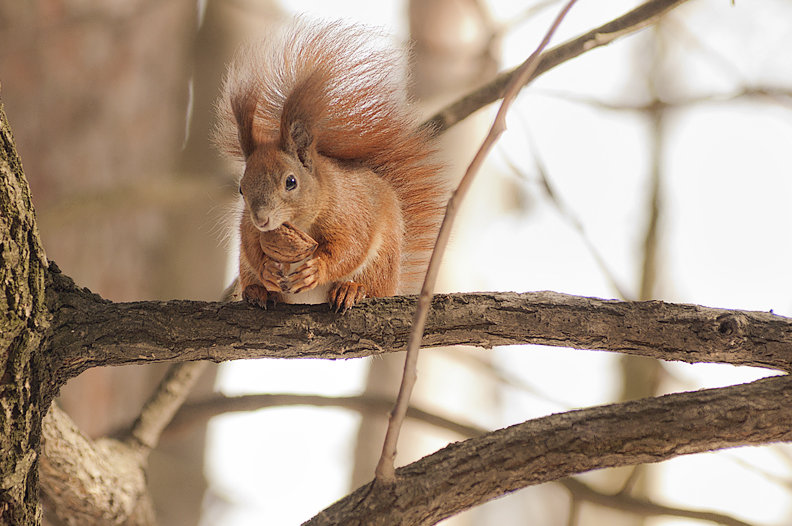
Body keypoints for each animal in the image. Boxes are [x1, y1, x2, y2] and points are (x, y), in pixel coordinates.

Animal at [213, 18, 446, 312]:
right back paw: (259, 291)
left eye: (291, 181)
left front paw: (317, 269)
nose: (262, 219)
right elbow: (251, 245)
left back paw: (351, 290)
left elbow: (349, 248)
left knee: (369, 282)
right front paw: (266, 269)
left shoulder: (350, 213)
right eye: (241, 189)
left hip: (381, 263)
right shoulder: (248, 227)